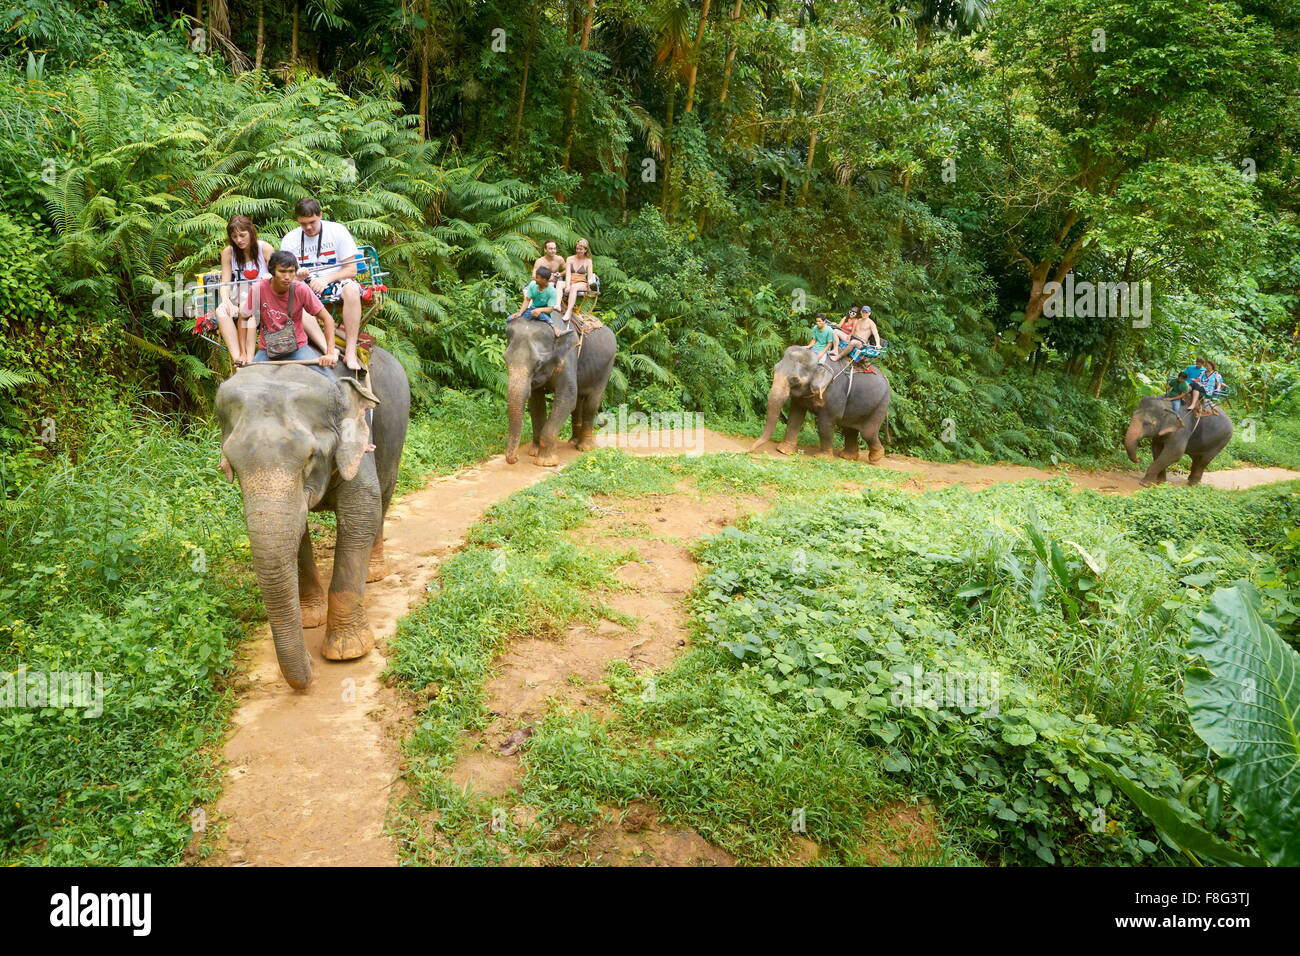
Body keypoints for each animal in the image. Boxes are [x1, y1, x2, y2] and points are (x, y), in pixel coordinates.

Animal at [215, 350, 411, 690]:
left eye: (309, 457)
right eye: (232, 464)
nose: (309, 665)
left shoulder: (356, 438)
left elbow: (362, 511)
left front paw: (348, 651)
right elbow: (297, 528)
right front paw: (309, 620)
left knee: (385, 492)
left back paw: (374, 573)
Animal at [504, 315, 617, 467]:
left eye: (538, 364)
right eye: (505, 359)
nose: (514, 459)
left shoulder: (568, 356)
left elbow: (567, 398)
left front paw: (545, 462)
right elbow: (536, 403)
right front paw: (534, 452)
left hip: (607, 367)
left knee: (591, 402)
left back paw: (584, 448)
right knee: (578, 403)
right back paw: (573, 442)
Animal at [749, 346, 892, 462]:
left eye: (794, 380)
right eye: (774, 369)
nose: (749, 451)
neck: (819, 359)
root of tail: (886, 379)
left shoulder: (834, 392)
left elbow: (825, 423)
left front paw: (822, 458)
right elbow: (795, 416)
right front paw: (784, 450)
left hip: (881, 403)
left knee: (867, 432)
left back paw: (875, 457)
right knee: (849, 428)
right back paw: (848, 457)